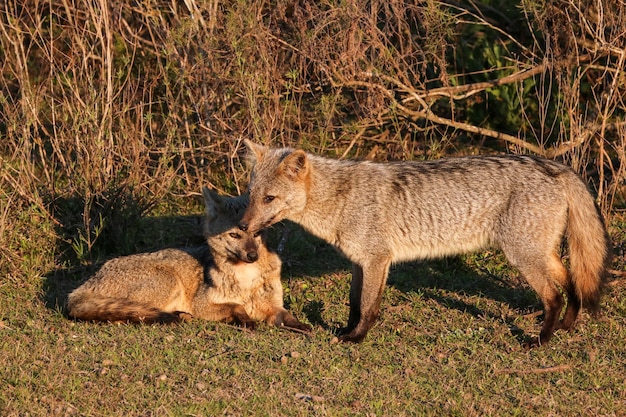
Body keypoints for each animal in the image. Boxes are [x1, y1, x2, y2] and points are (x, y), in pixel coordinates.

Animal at [67, 187, 310, 334]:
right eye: (234, 235)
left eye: (257, 234)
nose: (252, 256)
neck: (246, 278)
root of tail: (87, 282)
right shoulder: (202, 305)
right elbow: (236, 305)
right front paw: (243, 318)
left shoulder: (272, 307)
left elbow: (286, 315)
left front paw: (301, 325)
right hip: (168, 281)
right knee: (129, 315)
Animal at [236, 139, 608, 344]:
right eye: (251, 195)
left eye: (269, 199)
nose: (241, 226)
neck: (341, 197)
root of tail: (555, 165)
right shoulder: (359, 261)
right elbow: (354, 303)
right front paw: (346, 329)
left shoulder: (377, 259)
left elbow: (369, 306)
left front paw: (357, 338)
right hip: (541, 254)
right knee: (572, 282)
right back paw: (567, 325)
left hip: (523, 257)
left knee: (553, 297)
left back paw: (542, 340)